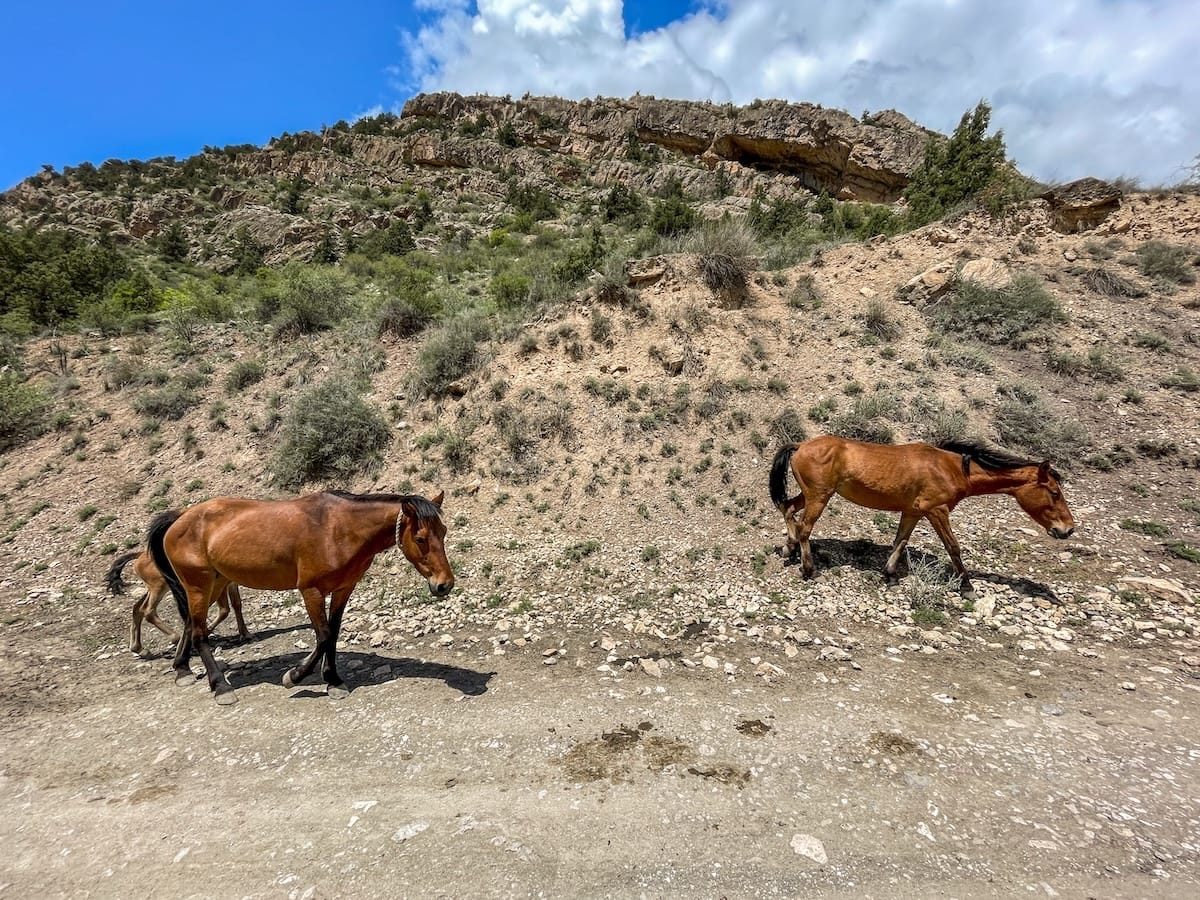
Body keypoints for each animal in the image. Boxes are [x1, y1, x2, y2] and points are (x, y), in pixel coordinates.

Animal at [105, 548, 249, 656]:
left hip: (154, 589)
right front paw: (208, 630)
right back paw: (176, 638)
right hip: (159, 587)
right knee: (147, 611)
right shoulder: (219, 587)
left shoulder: (231, 585)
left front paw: (244, 633)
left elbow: (237, 605)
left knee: (137, 608)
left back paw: (139, 649)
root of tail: (140, 556)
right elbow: (224, 610)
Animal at [148, 489, 453, 705]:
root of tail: (180, 517)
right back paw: (221, 687)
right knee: (199, 633)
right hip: (198, 587)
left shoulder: (343, 588)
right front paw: (294, 676)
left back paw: (182, 669)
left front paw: (334, 681)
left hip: (215, 583)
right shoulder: (311, 591)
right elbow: (323, 636)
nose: (444, 585)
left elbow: (333, 634)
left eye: (443, 532)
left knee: (190, 624)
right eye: (421, 538)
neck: (338, 528)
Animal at [769, 436, 1075, 596]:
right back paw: (809, 569)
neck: (953, 468)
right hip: (819, 497)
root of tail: (800, 446)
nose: (1068, 529)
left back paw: (788, 549)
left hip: (811, 495)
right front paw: (967, 586)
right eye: (1055, 492)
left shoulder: (912, 512)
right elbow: (953, 547)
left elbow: (900, 542)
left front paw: (890, 575)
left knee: (789, 509)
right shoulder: (936, 511)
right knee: (805, 527)